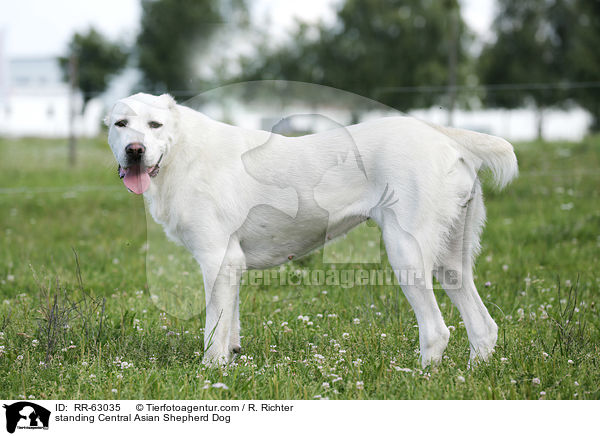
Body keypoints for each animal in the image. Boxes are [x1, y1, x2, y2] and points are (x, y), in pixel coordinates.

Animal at [104, 93, 516, 368]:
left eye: (155, 125)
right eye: (120, 125)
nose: (135, 150)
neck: (180, 152)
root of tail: (445, 137)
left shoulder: (218, 259)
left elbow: (213, 332)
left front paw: (211, 374)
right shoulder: (231, 264)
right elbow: (230, 325)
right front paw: (232, 360)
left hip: (407, 255)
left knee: (436, 330)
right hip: (450, 263)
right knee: (484, 328)